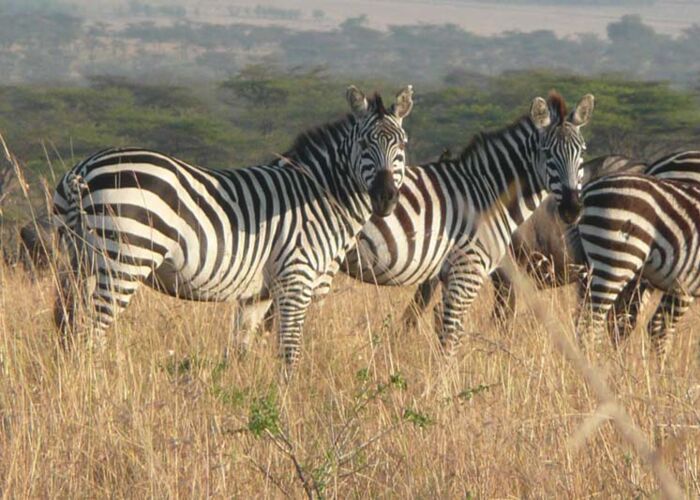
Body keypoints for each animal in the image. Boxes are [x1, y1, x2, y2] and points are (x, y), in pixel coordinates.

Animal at [52, 85, 414, 368]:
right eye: (364, 144)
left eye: (402, 146)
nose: (385, 198)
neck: (319, 196)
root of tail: (83, 169)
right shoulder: (296, 279)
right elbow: (290, 351)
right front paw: (287, 401)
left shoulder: (258, 294)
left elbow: (241, 349)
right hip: (125, 260)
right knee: (93, 331)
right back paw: (99, 381)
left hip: (77, 260)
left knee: (68, 329)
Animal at [341, 92, 595, 355]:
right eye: (547, 153)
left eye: (581, 151)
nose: (572, 209)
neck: (486, 191)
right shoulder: (468, 270)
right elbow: (454, 333)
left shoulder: (450, 274)